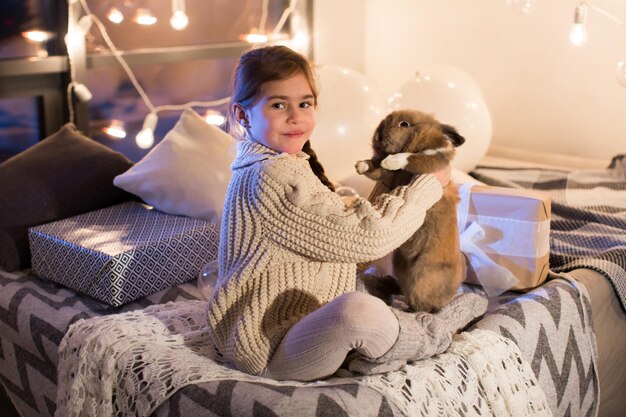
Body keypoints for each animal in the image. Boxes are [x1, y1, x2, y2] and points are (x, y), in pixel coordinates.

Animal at [356, 109, 464, 310]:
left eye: (404, 124)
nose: (378, 135)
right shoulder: (389, 178)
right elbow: (376, 169)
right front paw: (361, 165)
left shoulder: (430, 160)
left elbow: (411, 158)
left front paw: (389, 161)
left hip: (421, 277)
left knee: (423, 305)